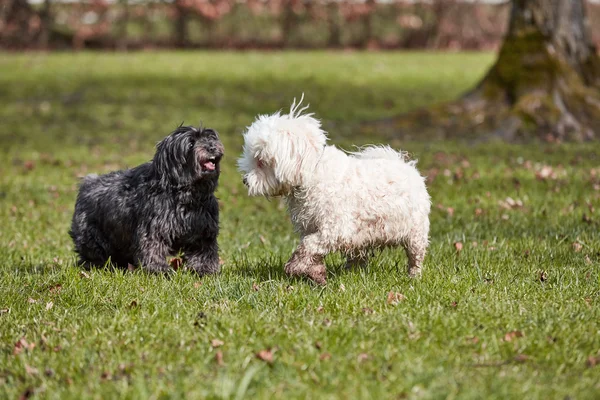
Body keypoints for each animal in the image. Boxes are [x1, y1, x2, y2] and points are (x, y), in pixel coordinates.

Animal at [70, 126, 224, 276]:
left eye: (209, 138)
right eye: (191, 143)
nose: (211, 147)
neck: (186, 194)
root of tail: (88, 183)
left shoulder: (203, 230)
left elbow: (204, 252)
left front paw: (205, 270)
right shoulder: (154, 230)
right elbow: (153, 249)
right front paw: (159, 271)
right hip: (93, 238)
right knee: (94, 253)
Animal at [237, 96, 428, 284]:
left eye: (260, 161)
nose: (245, 181)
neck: (312, 172)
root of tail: (405, 165)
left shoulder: (336, 228)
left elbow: (308, 245)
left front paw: (296, 266)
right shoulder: (311, 227)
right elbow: (311, 248)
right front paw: (316, 272)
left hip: (415, 232)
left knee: (415, 256)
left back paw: (414, 276)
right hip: (363, 236)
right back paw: (353, 271)